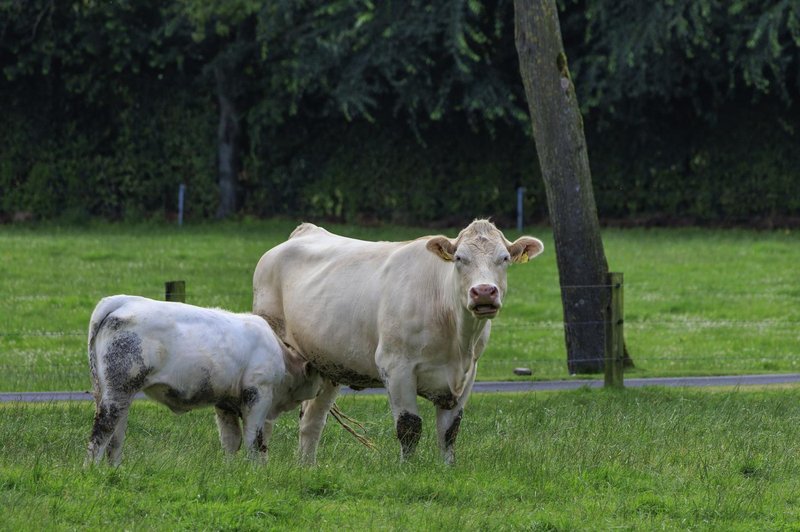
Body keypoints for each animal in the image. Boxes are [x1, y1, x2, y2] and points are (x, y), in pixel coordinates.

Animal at [86, 296, 322, 466]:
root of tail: (123, 300)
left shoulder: (225, 403)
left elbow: (231, 441)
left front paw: (231, 472)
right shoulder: (258, 395)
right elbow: (254, 441)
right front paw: (256, 472)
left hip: (115, 393)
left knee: (116, 438)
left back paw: (115, 470)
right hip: (118, 390)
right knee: (103, 430)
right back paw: (91, 470)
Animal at [255, 218, 544, 464]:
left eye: (504, 258)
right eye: (459, 258)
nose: (483, 291)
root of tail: (306, 230)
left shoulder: (468, 373)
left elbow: (450, 430)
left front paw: (448, 468)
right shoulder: (396, 366)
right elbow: (409, 426)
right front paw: (408, 470)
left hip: (326, 363)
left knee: (312, 420)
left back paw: (307, 468)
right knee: (267, 415)